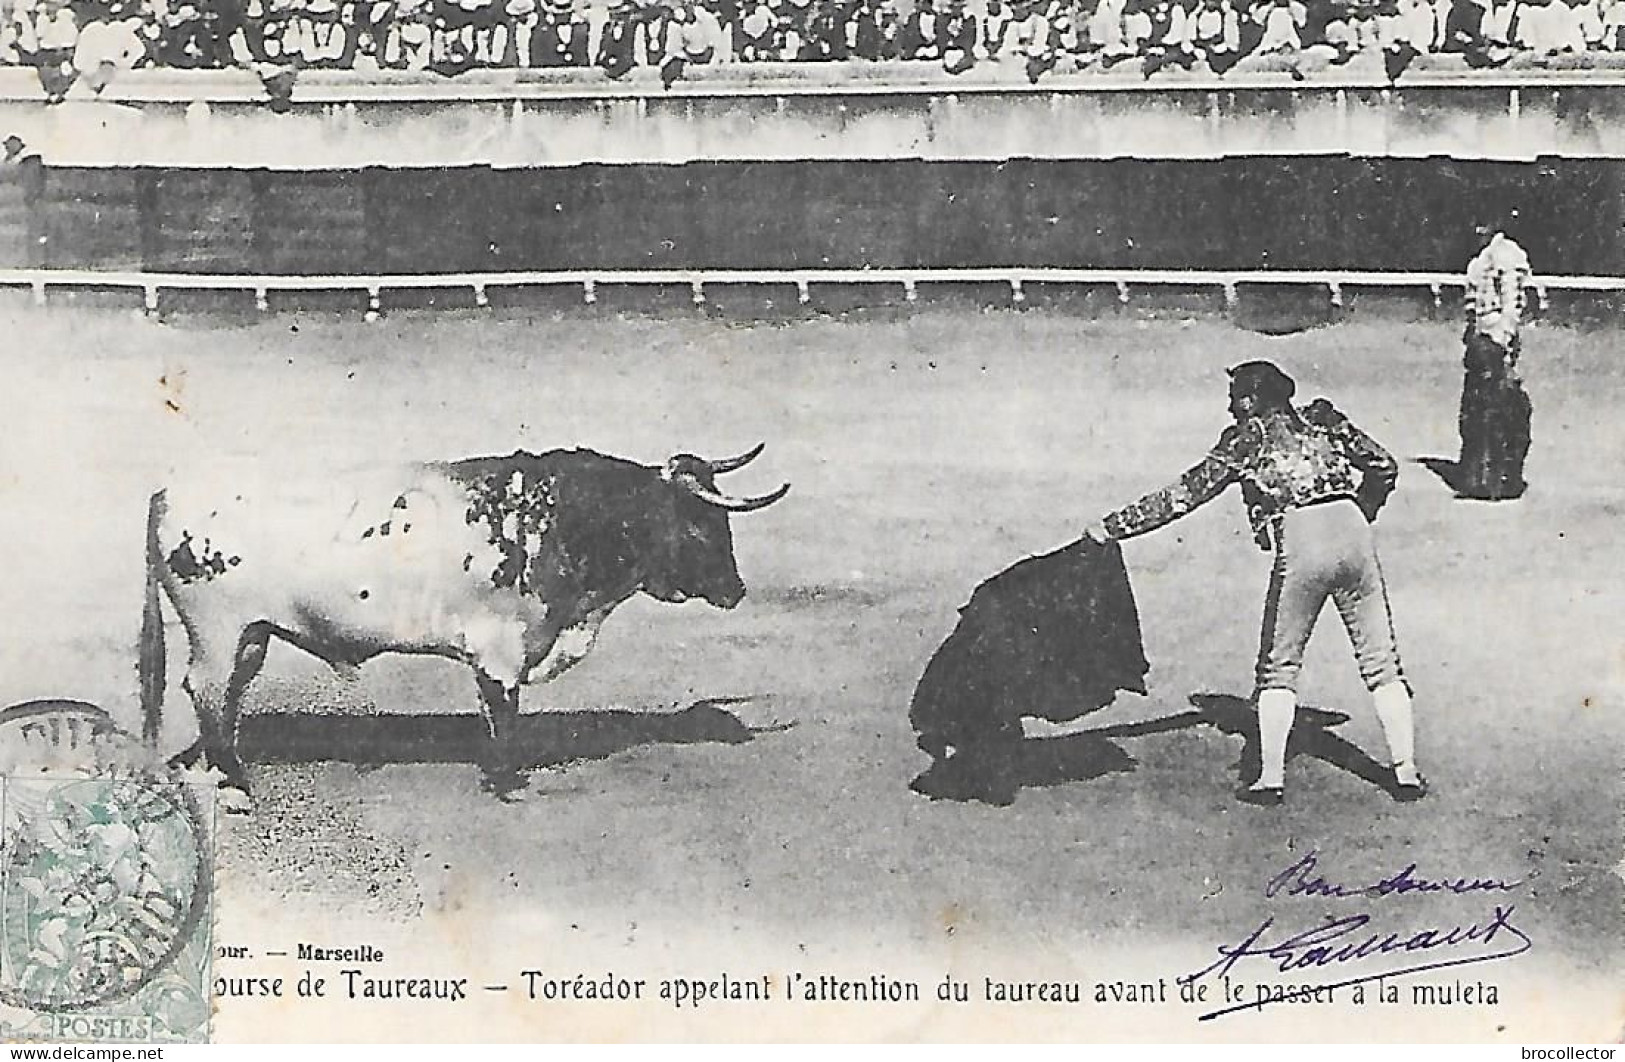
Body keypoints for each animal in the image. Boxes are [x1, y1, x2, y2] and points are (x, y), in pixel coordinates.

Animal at [143, 444, 789, 811]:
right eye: (702, 524)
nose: (736, 590)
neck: (556, 521)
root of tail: (168, 491)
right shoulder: (502, 647)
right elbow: (504, 714)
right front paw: (508, 783)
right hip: (217, 630)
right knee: (206, 691)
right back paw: (234, 784)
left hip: (249, 635)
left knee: (225, 696)